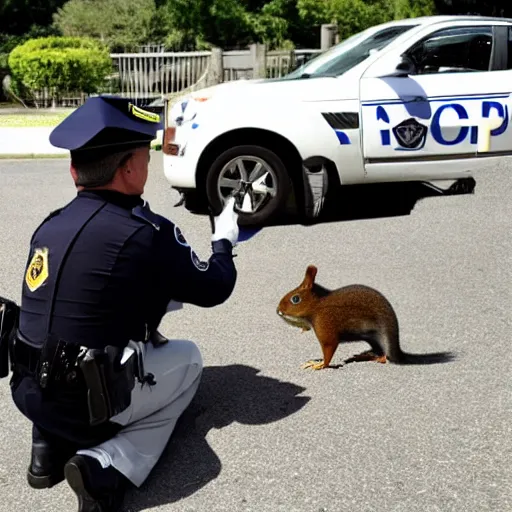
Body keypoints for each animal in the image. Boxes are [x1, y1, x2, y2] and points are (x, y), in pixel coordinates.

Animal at [278, 266, 454, 370]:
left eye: (295, 299)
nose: (278, 311)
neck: (317, 306)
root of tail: (397, 350)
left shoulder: (325, 326)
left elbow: (329, 349)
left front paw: (319, 364)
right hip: (372, 339)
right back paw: (364, 355)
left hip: (383, 339)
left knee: (385, 357)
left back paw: (373, 357)